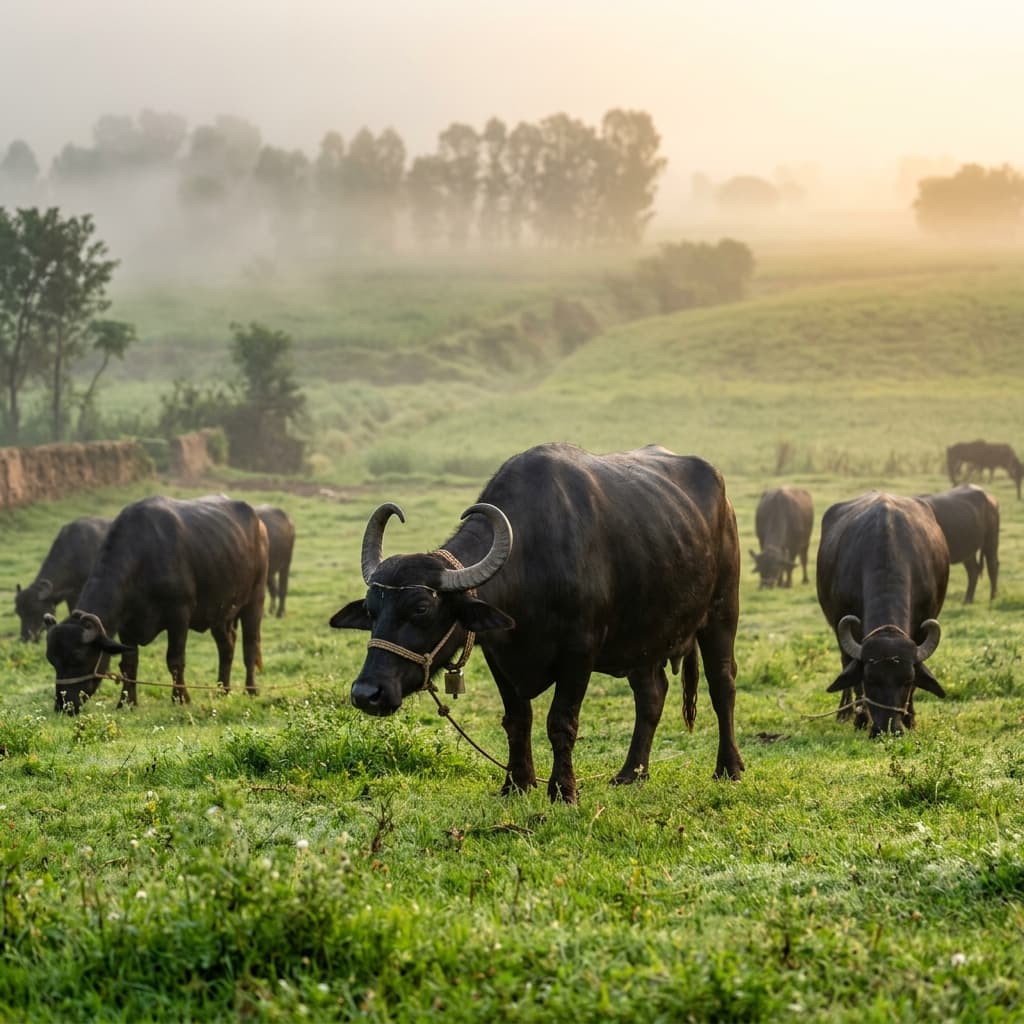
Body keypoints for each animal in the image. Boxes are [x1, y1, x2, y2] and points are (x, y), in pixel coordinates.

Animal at [45, 495, 268, 713]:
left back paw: (251, 690)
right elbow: (129, 663)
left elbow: (175, 660)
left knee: (250, 645)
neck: (143, 558)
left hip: (254, 600)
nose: (63, 705)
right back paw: (223, 690)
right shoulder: (126, 624)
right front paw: (126, 702)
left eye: (78, 658)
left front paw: (181, 698)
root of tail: (259, 523)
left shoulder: (179, 616)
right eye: (51, 660)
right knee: (226, 646)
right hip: (220, 611)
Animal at [331, 442, 744, 803]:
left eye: (421, 608)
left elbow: (561, 721)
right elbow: (517, 719)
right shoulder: (499, 654)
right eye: (371, 609)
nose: (366, 693)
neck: (533, 561)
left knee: (722, 685)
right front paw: (516, 783)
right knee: (651, 695)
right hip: (643, 638)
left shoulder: (579, 653)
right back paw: (632, 773)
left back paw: (729, 768)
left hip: (722, 612)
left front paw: (563, 790)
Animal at [816, 491, 949, 737]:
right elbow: (853, 675)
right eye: (870, 679)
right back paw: (844, 713)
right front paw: (860, 719)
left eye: (907, 680)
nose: (888, 729)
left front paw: (910, 718)